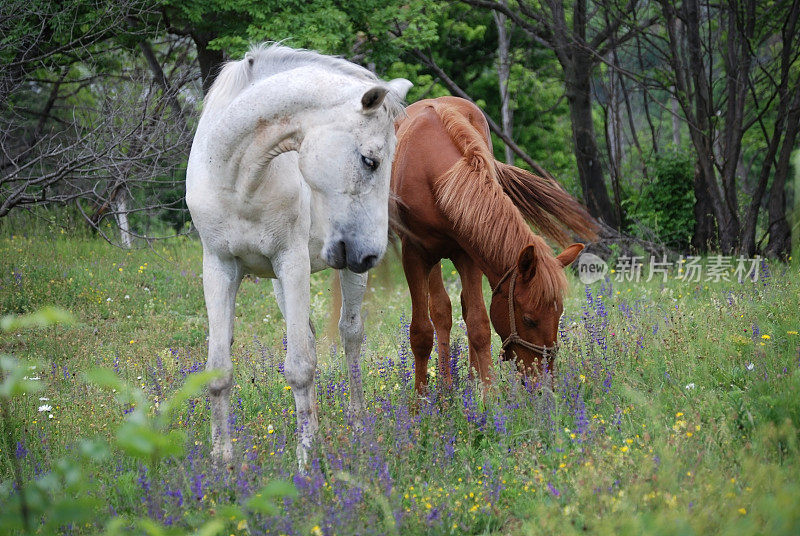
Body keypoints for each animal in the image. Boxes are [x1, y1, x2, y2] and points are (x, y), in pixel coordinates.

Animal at [186, 44, 412, 464]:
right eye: (370, 160)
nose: (371, 254)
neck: (237, 176)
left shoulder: (292, 262)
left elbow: (299, 368)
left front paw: (305, 462)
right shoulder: (219, 267)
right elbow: (219, 371)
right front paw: (222, 463)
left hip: (345, 273)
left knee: (350, 336)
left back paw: (356, 424)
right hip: (282, 282)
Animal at [390, 96, 596, 392]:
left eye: (559, 314)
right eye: (528, 319)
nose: (544, 386)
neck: (437, 177)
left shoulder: (467, 253)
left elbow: (478, 324)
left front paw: (487, 394)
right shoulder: (414, 255)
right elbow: (421, 332)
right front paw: (421, 400)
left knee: (460, 309)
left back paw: (467, 380)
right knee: (440, 311)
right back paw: (445, 387)